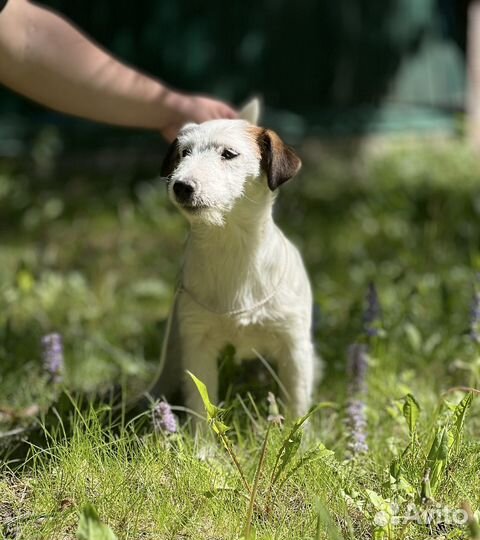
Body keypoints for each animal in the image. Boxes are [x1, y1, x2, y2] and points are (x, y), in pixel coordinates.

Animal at [156, 101, 320, 420]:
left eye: (228, 154)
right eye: (184, 153)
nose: (181, 186)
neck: (231, 245)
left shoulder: (293, 345)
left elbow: (296, 403)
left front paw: (297, 432)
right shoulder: (197, 344)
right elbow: (201, 404)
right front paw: (201, 435)